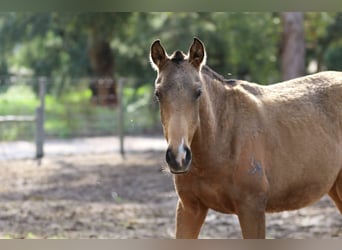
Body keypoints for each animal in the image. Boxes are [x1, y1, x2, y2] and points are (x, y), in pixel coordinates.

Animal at [149, 38, 342, 239]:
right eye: (158, 93)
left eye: (198, 92)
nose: (178, 157)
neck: (222, 139)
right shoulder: (190, 208)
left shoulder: (252, 208)